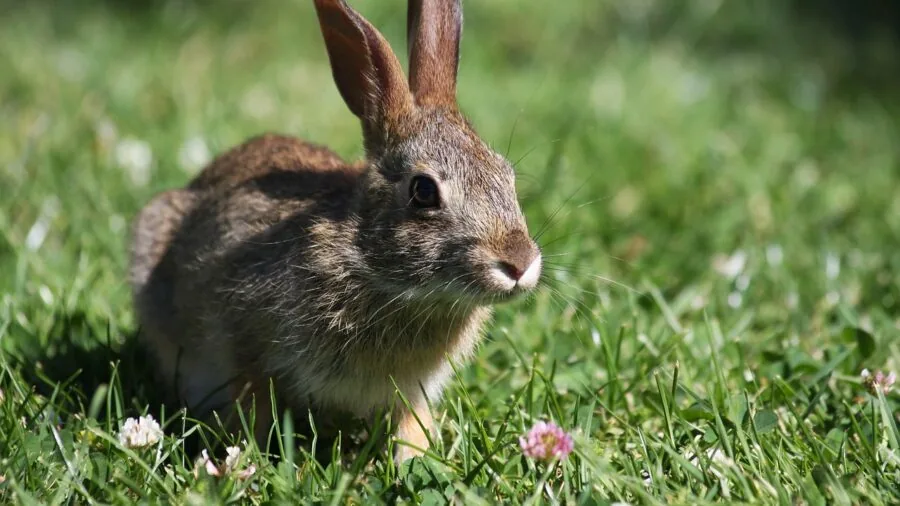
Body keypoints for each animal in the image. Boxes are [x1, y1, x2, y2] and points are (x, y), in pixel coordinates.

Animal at [129, 0, 542, 462]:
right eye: (423, 191)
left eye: (507, 176)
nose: (520, 264)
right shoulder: (244, 346)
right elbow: (253, 404)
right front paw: (251, 456)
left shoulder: (411, 392)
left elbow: (410, 424)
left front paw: (413, 458)